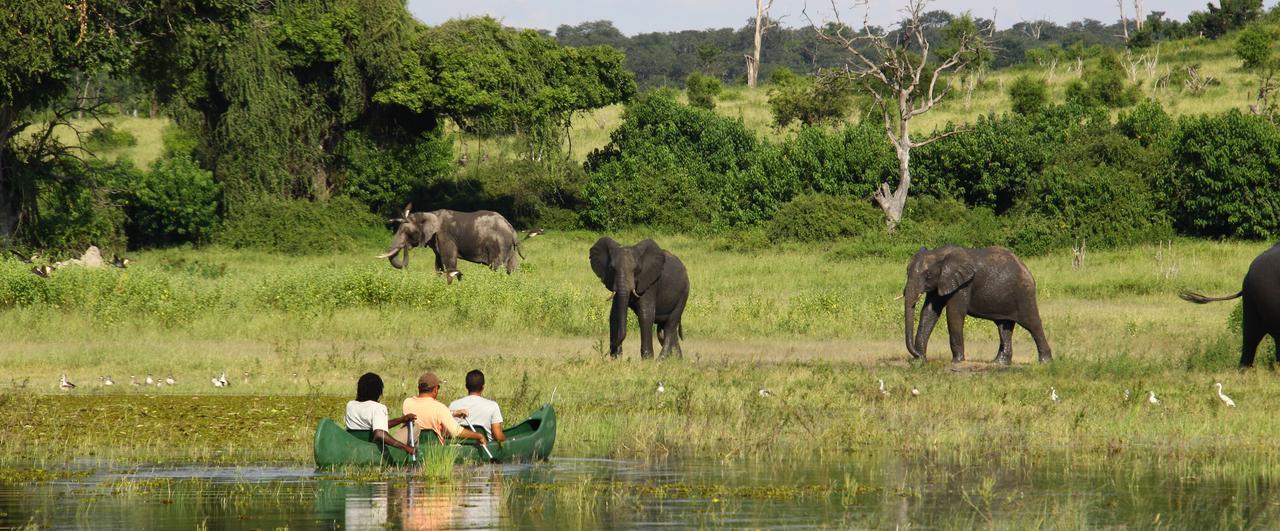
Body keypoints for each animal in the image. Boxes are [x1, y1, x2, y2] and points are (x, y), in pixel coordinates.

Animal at [373, 206, 535, 285]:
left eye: (407, 232)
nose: (406, 246)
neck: (429, 214)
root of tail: (512, 229)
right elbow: (438, 263)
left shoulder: (446, 237)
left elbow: (449, 262)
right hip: (509, 248)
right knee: (513, 268)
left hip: (499, 245)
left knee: (497, 268)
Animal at [901, 246, 1049, 365]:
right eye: (906, 272)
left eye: (928, 274)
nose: (916, 355)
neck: (940, 253)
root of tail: (1026, 268)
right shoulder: (942, 282)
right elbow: (929, 313)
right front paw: (920, 361)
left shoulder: (964, 284)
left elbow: (954, 313)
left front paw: (957, 361)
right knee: (1004, 327)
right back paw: (998, 363)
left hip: (1024, 293)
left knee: (1032, 324)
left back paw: (1045, 362)